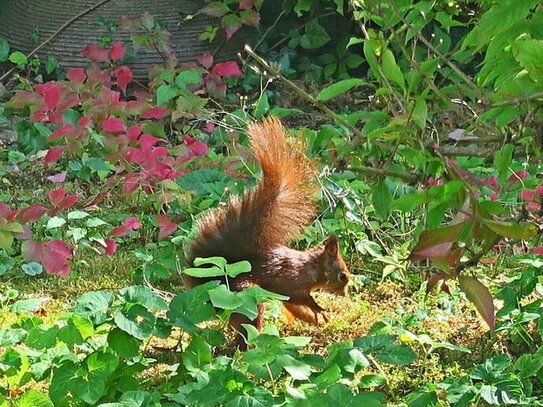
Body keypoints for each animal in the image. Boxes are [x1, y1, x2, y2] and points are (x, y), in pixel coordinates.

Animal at [184, 117, 352, 348]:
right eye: (342, 276)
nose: (345, 293)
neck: (312, 268)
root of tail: (209, 290)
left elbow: (294, 306)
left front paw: (319, 318)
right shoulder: (291, 281)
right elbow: (298, 298)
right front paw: (318, 309)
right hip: (245, 298)